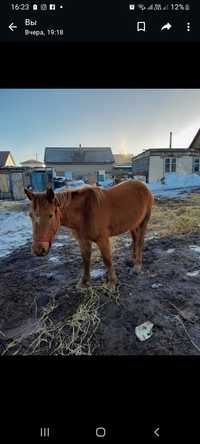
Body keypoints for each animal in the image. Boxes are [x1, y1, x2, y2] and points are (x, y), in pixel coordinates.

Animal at [24, 180, 153, 288]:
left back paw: (137, 266)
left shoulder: (102, 239)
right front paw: (84, 282)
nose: (38, 250)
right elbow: (86, 259)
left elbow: (107, 259)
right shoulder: (83, 240)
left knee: (140, 241)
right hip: (133, 224)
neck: (84, 212)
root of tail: (143, 185)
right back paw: (133, 260)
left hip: (144, 222)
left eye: (50, 215)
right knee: (135, 239)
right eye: (30, 215)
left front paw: (112, 282)